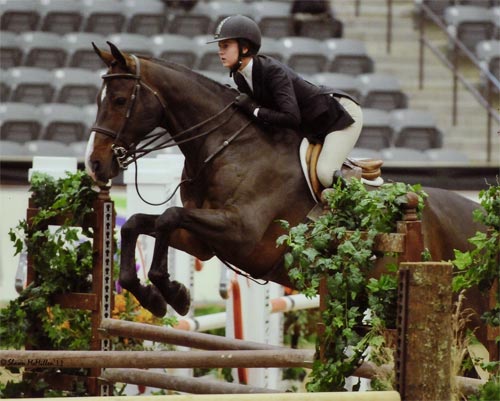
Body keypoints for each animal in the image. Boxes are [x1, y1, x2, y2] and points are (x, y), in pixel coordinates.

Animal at [86, 42, 488, 344]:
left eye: (119, 100)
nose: (95, 164)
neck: (226, 146)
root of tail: (477, 220)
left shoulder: (240, 234)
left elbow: (167, 217)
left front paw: (171, 292)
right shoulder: (203, 241)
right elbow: (139, 223)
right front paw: (158, 297)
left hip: (472, 319)